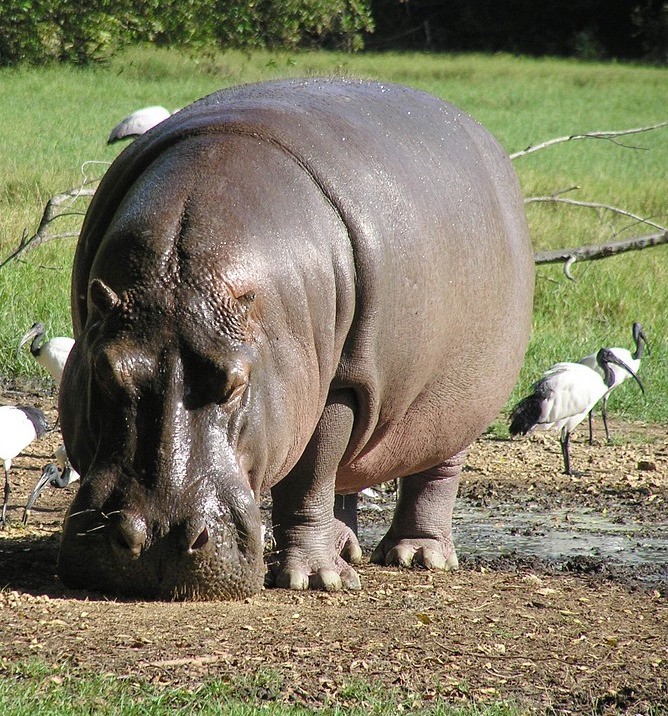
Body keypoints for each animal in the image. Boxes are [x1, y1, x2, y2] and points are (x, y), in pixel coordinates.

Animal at [57, 78, 534, 600]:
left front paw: (316, 580)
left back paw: (418, 556)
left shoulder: (342, 384)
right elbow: (322, 475)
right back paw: (347, 550)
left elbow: (310, 476)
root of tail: (480, 133)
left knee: (433, 473)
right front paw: (328, 570)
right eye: (105, 370)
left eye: (237, 383)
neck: (182, 277)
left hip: (462, 402)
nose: (157, 537)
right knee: (346, 476)